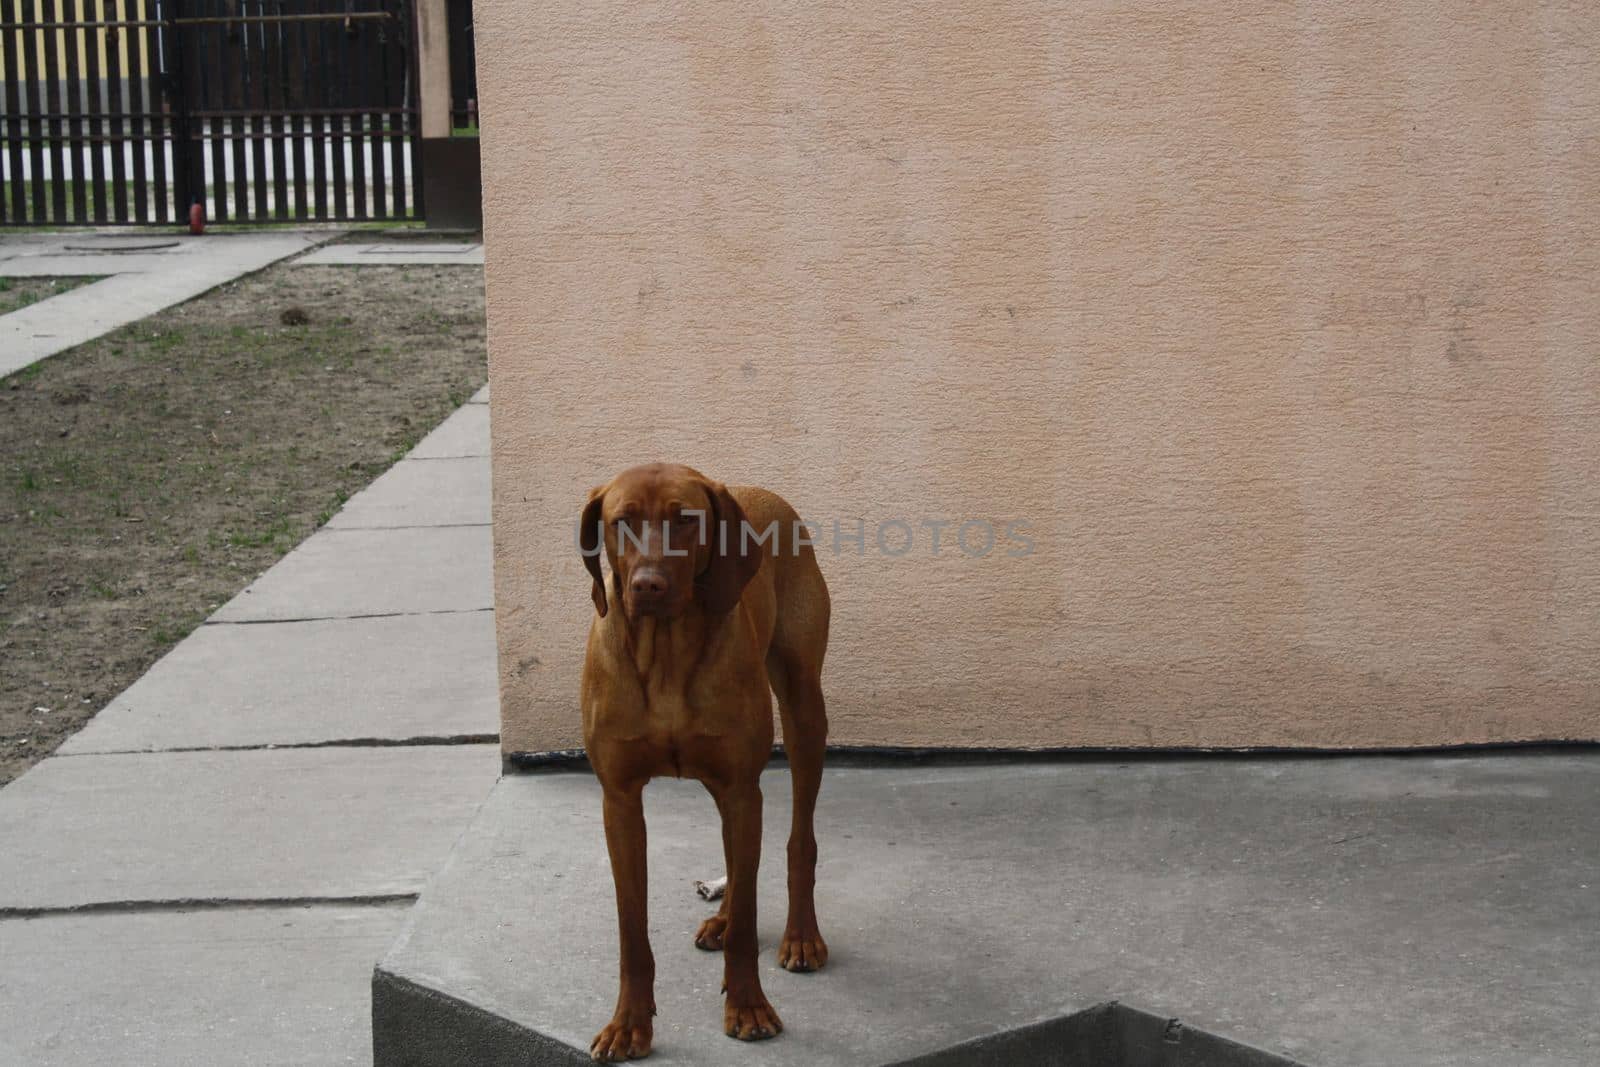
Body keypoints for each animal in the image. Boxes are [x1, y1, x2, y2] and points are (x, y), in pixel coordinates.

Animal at [579, 463, 832, 1062]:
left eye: (686, 520)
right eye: (621, 521)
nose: (648, 586)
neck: (666, 652)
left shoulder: (742, 787)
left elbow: (747, 922)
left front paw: (749, 1008)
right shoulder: (620, 800)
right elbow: (632, 929)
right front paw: (628, 1025)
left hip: (804, 711)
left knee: (798, 842)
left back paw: (800, 935)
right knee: (738, 867)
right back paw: (720, 916)